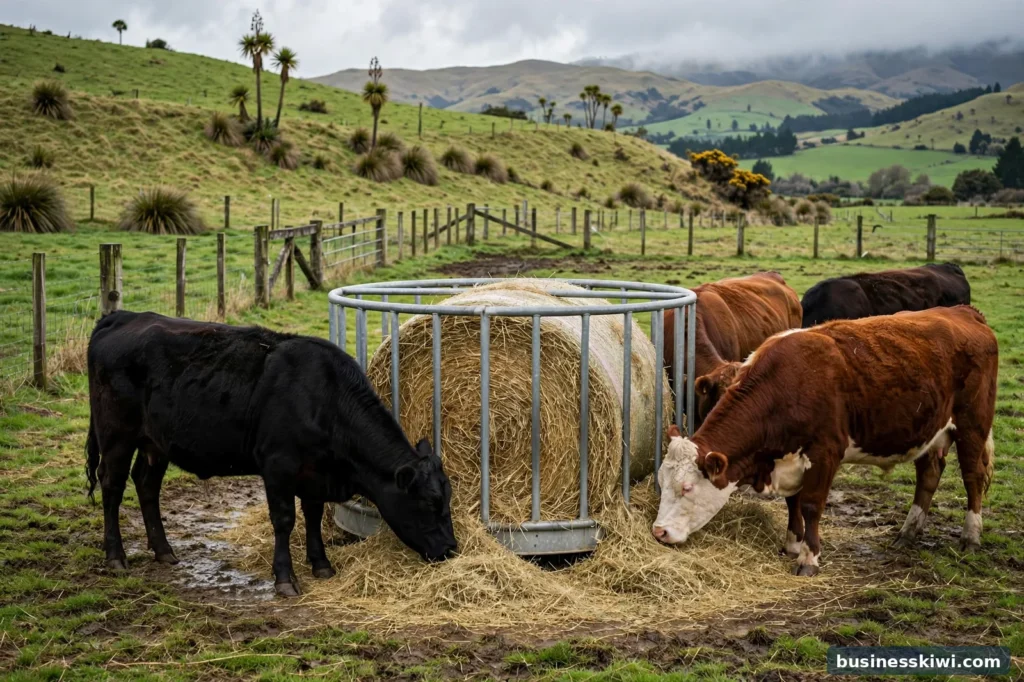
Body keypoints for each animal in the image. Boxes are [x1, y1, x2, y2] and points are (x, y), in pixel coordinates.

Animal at [86, 311, 456, 597]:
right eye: (430, 503)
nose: (451, 550)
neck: (324, 398)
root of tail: (123, 316)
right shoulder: (278, 466)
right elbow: (285, 520)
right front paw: (285, 579)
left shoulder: (314, 472)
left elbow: (312, 515)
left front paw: (321, 564)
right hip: (117, 435)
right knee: (112, 486)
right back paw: (116, 556)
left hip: (155, 442)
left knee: (146, 485)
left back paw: (164, 551)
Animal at [652, 306, 997, 576]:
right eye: (662, 482)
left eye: (687, 488)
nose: (659, 531)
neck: (787, 384)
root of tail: (964, 312)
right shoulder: (789, 456)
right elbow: (792, 501)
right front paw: (793, 543)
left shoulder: (825, 453)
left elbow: (810, 505)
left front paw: (809, 558)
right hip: (932, 431)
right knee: (928, 475)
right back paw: (907, 533)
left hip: (972, 425)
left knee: (972, 477)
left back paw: (970, 537)